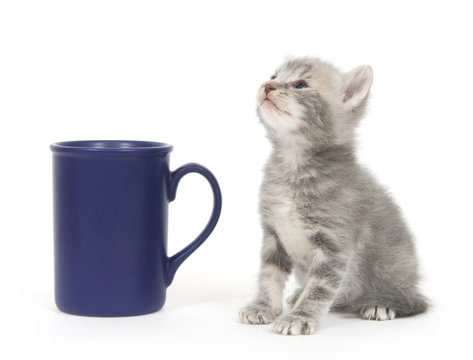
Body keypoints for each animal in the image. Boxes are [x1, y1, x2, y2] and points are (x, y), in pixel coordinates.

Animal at [238, 56, 426, 334]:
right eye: (273, 76)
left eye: (301, 84)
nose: (267, 86)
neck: (293, 163)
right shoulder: (273, 234)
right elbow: (268, 274)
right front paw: (263, 307)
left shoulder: (335, 245)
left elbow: (320, 288)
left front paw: (299, 317)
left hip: (392, 266)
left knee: (413, 301)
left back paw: (380, 304)